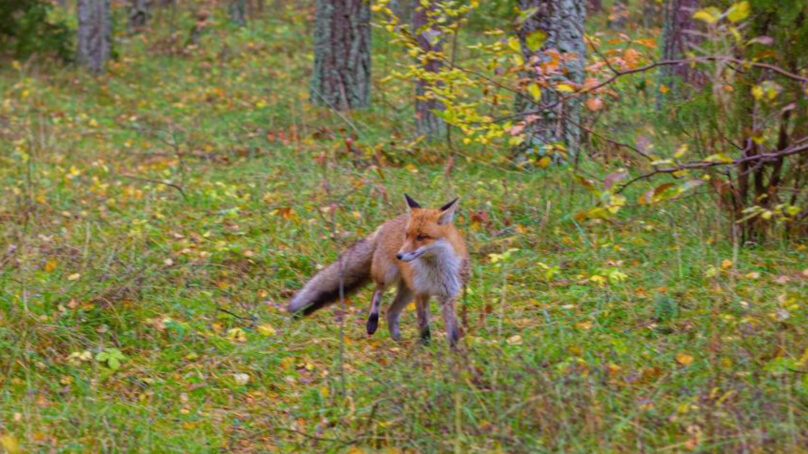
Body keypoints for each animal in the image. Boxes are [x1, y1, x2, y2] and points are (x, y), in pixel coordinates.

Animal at [288, 193, 470, 346]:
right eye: (407, 235)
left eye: (421, 236)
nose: (399, 255)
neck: (436, 270)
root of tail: (383, 226)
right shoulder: (421, 293)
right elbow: (424, 327)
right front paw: (426, 349)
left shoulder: (447, 294)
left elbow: (453, 330)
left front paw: (454, 355)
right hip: (387, 275)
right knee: (377, 292)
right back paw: (372, 321)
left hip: (407, 291)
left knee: (391, 312)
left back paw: (398, 340)